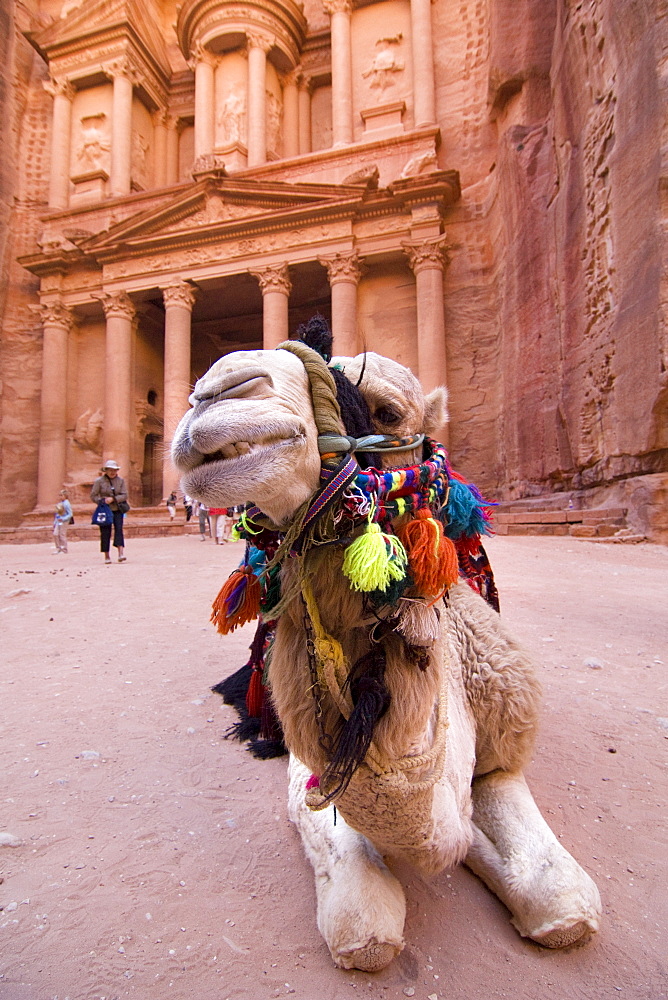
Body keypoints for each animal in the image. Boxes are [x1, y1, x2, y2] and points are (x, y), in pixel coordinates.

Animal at [172, 324, 600, 972]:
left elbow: (561, 898)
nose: (215, 394)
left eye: (388, 411)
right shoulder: (310, 763)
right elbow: (363, 920)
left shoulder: (504, 744)